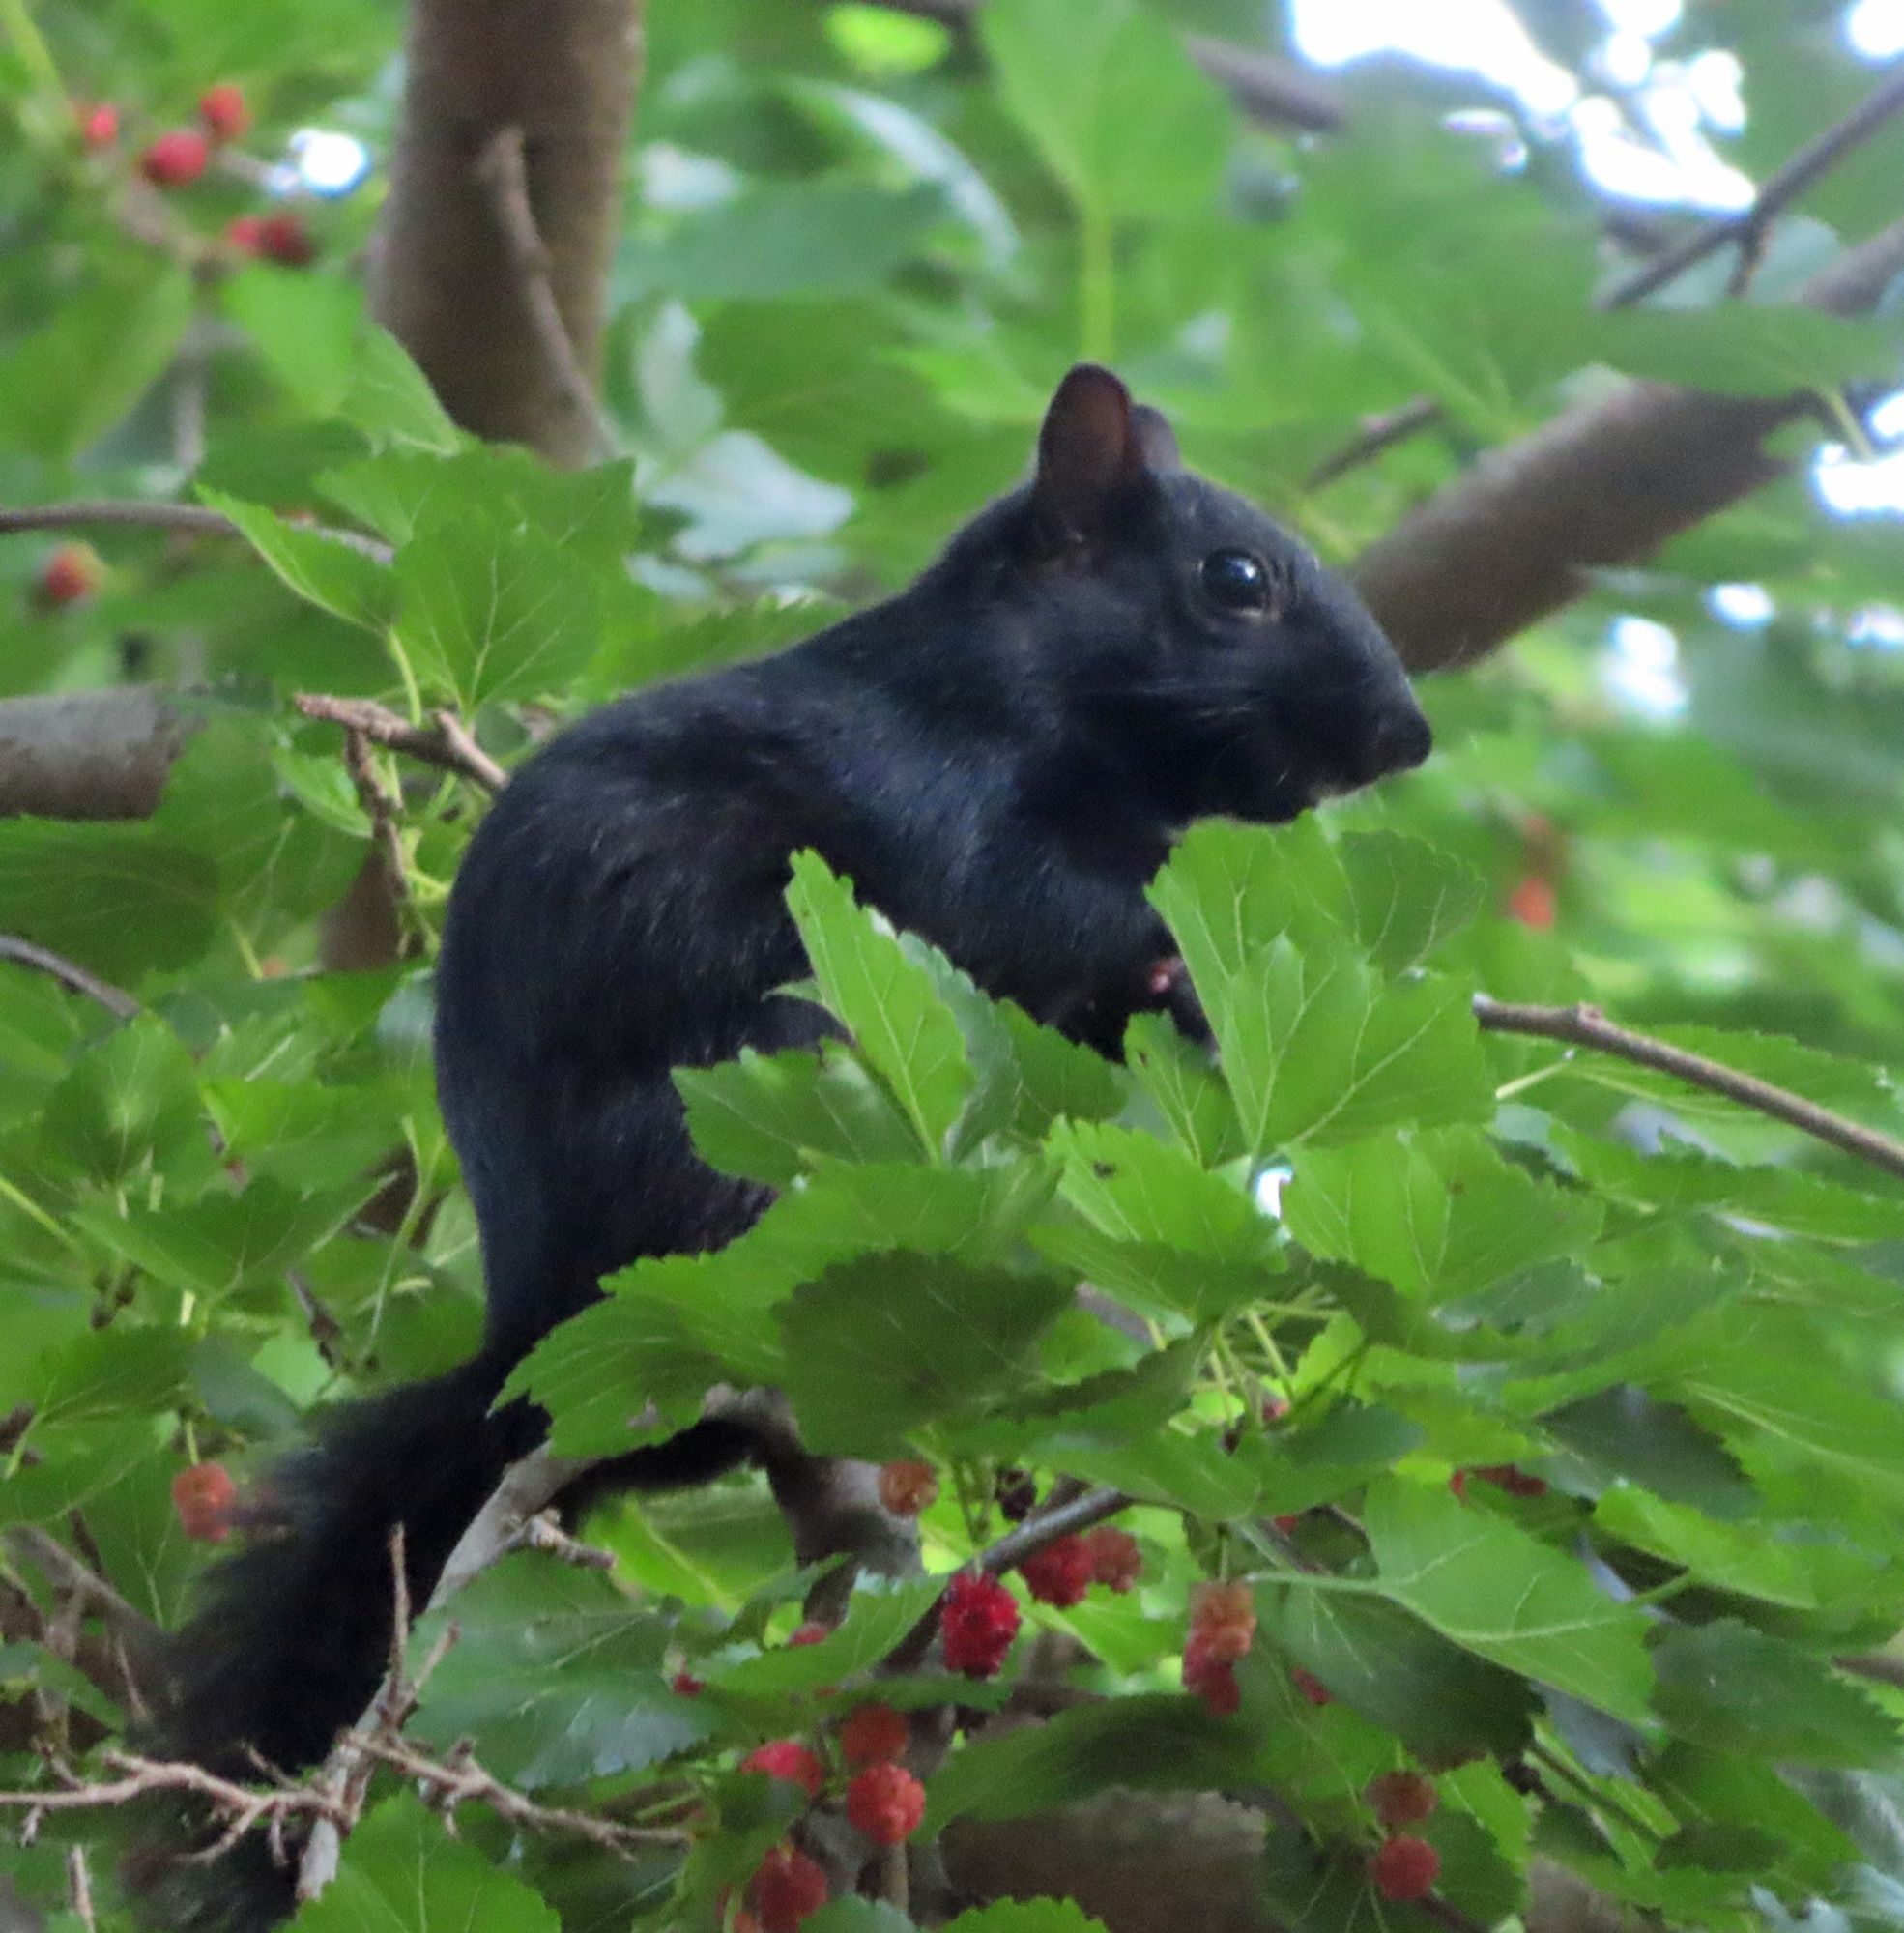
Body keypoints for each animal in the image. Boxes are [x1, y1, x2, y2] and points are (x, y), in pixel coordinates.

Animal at [149, 365, 1423, 1918]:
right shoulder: (935, 802)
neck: (1027, 701)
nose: (1403, 736)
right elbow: (1022, 911)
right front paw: (1188, 963)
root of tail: (541, 1340)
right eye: (1234, 580)